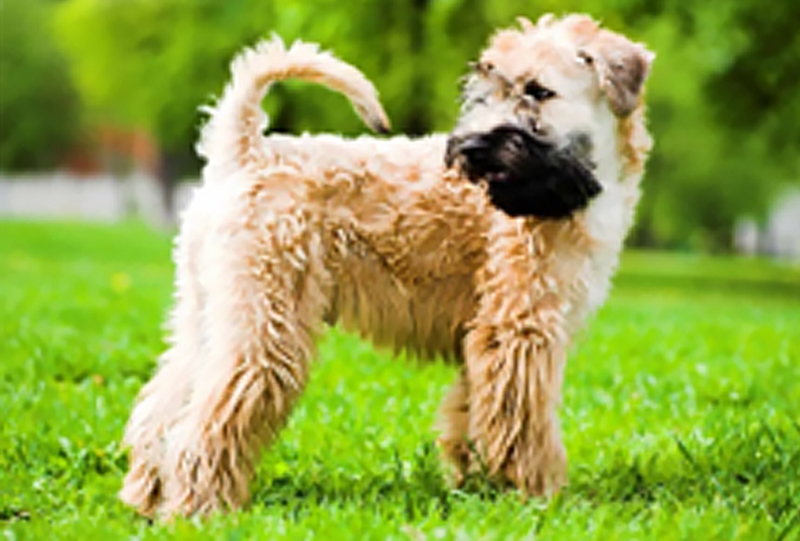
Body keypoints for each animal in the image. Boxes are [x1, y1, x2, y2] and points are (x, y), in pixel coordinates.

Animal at [120, 13, 656, 520]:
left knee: (162, 411)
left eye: (539, 91)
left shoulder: (485, 336)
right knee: (203, 424)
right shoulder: (520, 329)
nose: (471, 150)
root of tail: (246, 151)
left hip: (209, 314)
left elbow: (474, 415)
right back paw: (199, 509)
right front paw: (540, 496)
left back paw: (145, 500)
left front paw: (479, 488)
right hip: (267, 328)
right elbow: (525, 422)